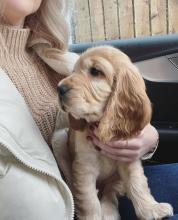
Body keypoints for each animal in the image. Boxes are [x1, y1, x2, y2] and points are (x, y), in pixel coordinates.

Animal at [52, 45, 172, 219]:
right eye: (73, 71)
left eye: (95, 71)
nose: (59, 89)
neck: (102, 126)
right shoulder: (84, 168)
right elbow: (89, 201)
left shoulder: (129, 160)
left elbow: (137, 183)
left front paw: (151, 209)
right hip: (59, 139)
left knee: (111, 191)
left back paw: (109, 211)